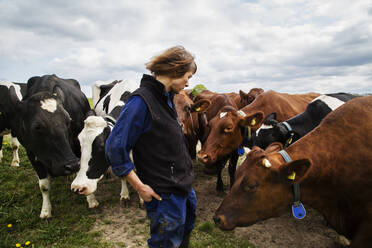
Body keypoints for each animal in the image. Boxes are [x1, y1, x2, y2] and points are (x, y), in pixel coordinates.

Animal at [7, 74, 90, 218]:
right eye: (37, 126)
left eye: (68, 120)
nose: (72, 165)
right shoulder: (32, 153)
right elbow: (44, 185)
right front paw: (46, 211)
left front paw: (91, 200)